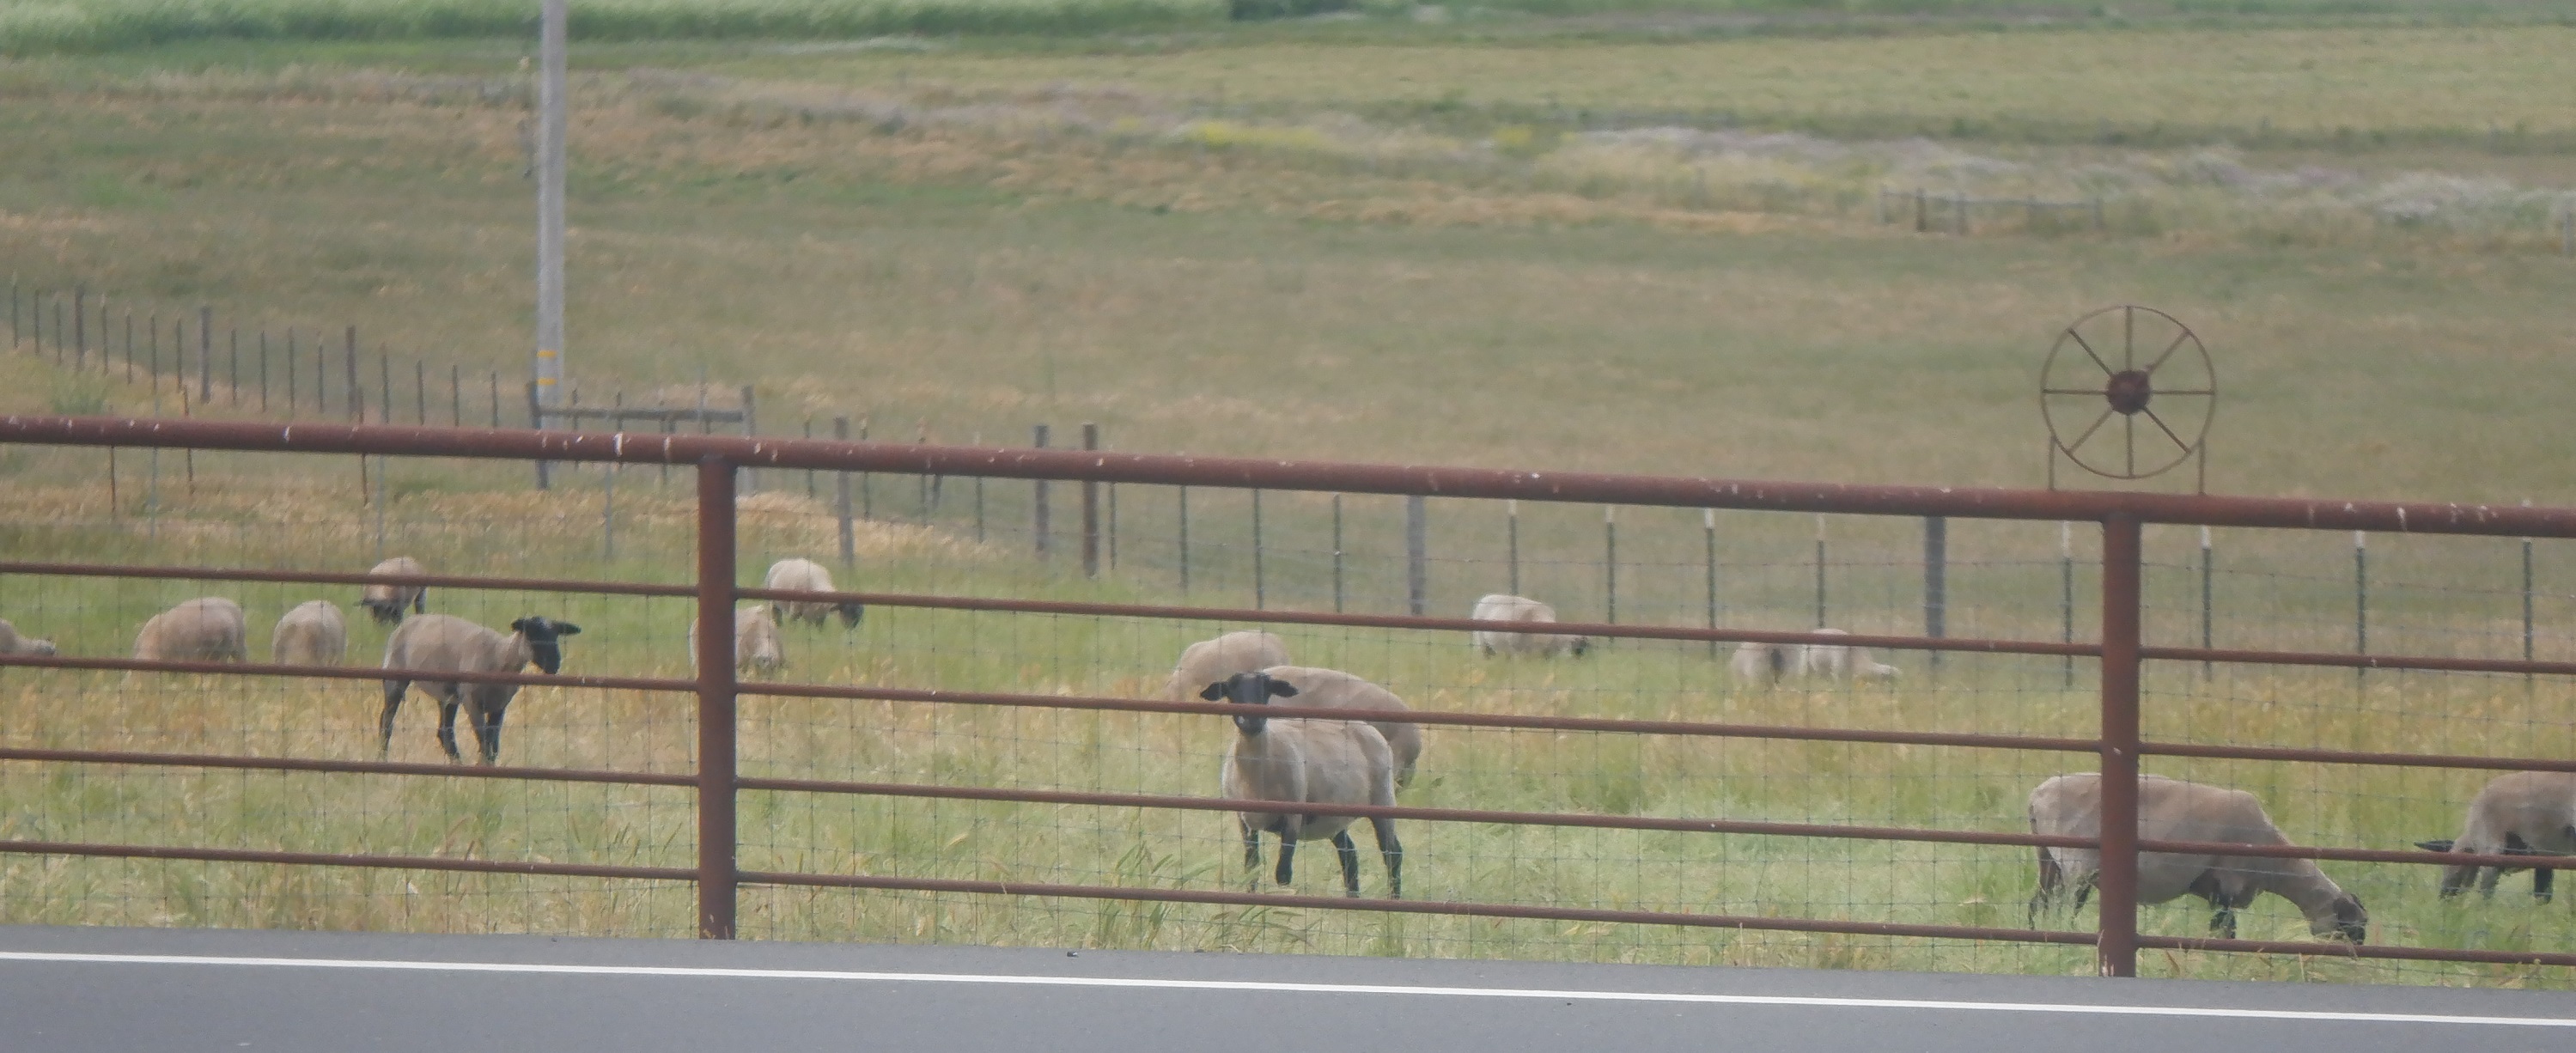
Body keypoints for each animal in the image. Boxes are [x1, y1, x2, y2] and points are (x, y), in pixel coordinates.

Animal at [379, 614, 580, 765]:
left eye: (555, 636)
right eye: (532, 633)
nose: (554, 665)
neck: (501, 657)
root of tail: (409, 621)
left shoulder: (500, 706)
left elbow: (493, 744)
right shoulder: (472, 702)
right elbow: (484, 741)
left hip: (448, 695)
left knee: (445, 731)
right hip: (395, 678)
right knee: (386, 722)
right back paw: (383, 757)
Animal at [1204, 671, 1402, 899]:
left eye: (1267, 688)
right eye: (1231, 689)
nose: (1252, 721)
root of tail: (1370, 729)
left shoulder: (1293, 816)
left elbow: (1282, 875)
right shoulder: (1244, 820)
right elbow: (1252, 868)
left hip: (1383, 799)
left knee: (1392, 852)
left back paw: (1394, 898)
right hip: (1333, 816)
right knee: (1349, 853)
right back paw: (1353, 897)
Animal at [2027, 772, 2367, 942]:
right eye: (2351, 927)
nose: (2355, 960)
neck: (2276, 863)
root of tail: (2036, 796)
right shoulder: (2227, 883)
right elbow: (2226, 930)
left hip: (2047, 858)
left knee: (2037, 902)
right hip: (2077, 861)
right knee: (2067, 907)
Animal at [2415, 771, 2576, 902]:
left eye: (2449, 864)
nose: (2443, 898)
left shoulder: (2491, 847)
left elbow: (2486, 890)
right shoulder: (2544, 854)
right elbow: (2543, 894)